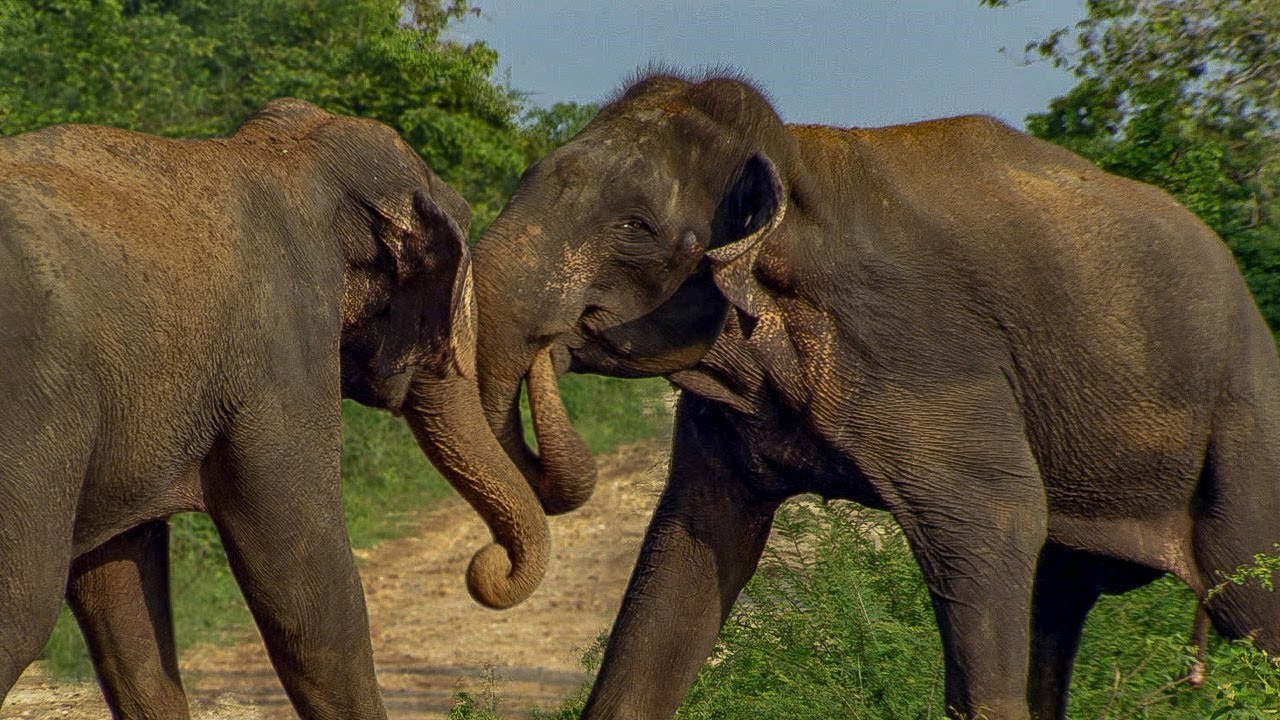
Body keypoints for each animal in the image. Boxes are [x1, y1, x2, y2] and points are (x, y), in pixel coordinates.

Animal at [0, 101, 576, 717]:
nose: (488, 563)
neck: (288, 158)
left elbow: (121, 601)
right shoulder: (282, 354)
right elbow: (304, 578)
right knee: (25, 608)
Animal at [471, 74, 1280, 717]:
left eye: (634, 226)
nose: (553, 345)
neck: (796, 167)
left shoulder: (926, 350)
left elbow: (999, 517)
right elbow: (685, 555)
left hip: (1246, 421)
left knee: (1250, 597)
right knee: (1058, 598)